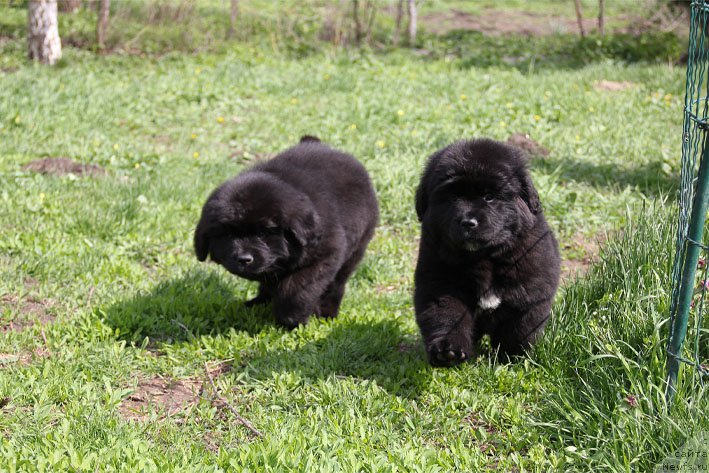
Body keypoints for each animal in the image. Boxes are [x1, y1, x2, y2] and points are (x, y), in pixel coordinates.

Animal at [195, 136, 376, 328]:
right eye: (228, 235)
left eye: (263, 234)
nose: (244, 259)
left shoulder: (324, 256)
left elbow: (296, 289)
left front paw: (291, 320)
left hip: (356, 248)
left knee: (336, 284)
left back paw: (328, 314)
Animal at [414, 138, 560, 366]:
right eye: (453, 197)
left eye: (489, 197)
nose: (468, 222)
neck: (484, 257)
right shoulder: (439, 282)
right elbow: (447, 315)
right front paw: (447, 352)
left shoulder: (530, 293)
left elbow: (519, 328)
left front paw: (511, 358)